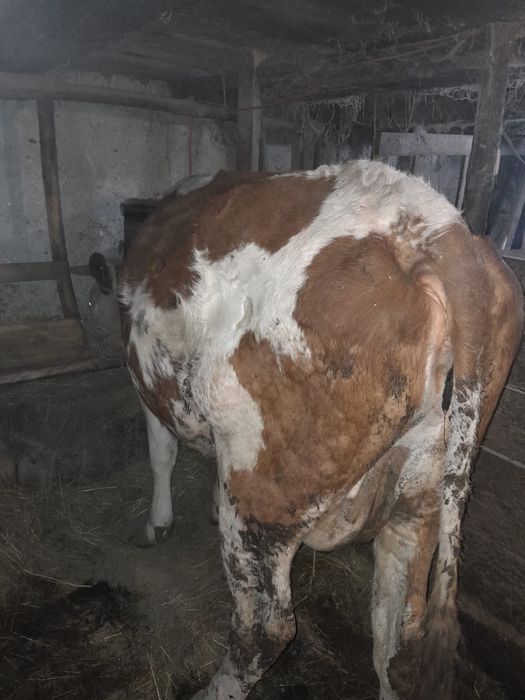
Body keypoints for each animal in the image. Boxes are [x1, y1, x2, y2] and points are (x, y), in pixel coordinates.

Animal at [118, 160, 523, 700]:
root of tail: (440, 228)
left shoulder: (146, 381)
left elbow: (160, 453)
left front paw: (157, 523)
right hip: (423, 497)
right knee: (397, 633)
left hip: (263, 493)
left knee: (265, 629)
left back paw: (213, 688)